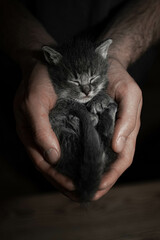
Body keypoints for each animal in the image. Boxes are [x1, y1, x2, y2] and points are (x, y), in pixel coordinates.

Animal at [42, 38, 117, 202]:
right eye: (74, 81)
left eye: (93, 77)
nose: (87, 91)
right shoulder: (56, 109)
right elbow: (65, 105)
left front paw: (100, 98)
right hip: (66, 138)